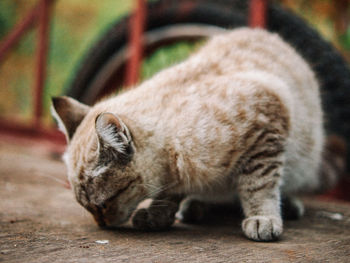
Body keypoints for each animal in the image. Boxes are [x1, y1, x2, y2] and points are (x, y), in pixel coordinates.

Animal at [51, 27, 334, 242]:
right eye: (87, 207)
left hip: (305, 161)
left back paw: (289, 204)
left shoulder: (268, 119)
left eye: (103, 204)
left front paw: (262, 218)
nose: (101, 224)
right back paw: (196, 205)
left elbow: (259, 185)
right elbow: (168, 193)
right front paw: (157, 215)